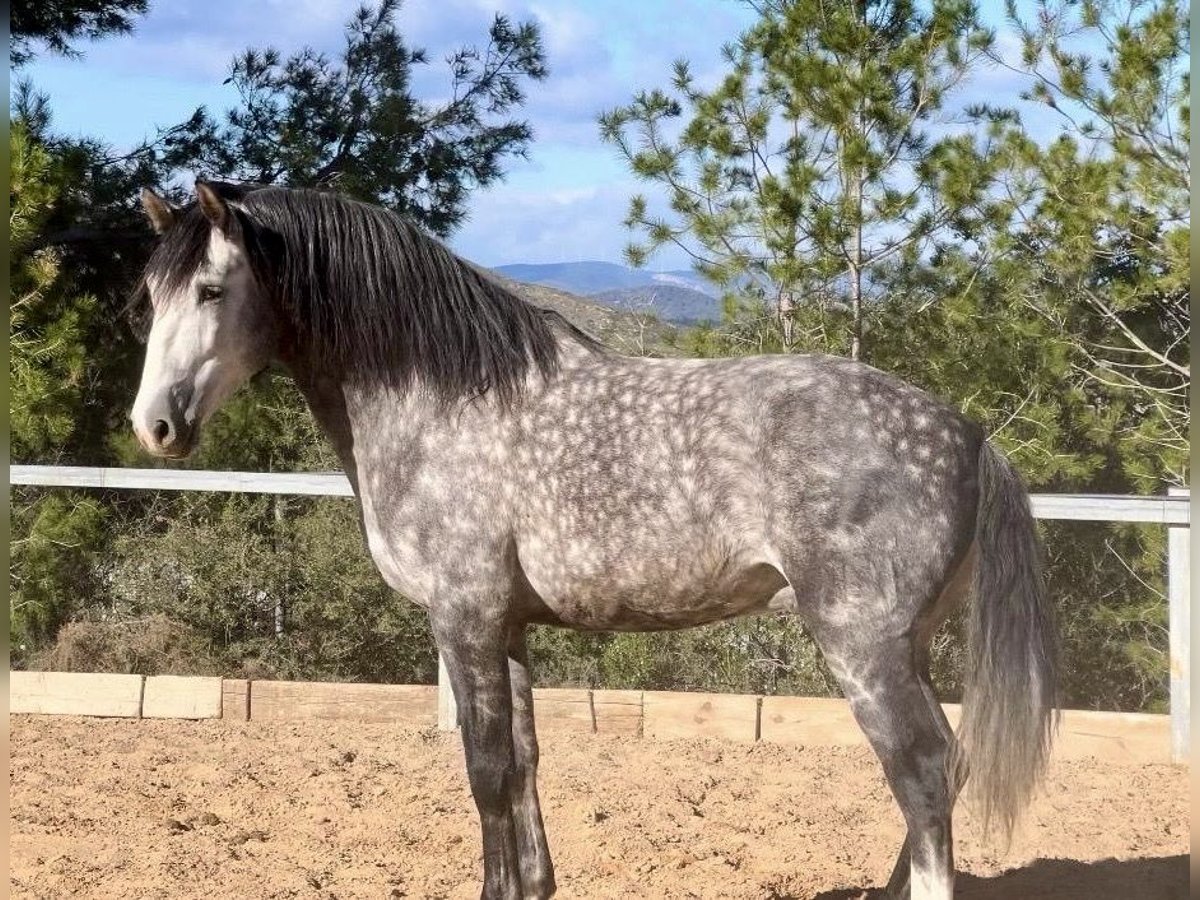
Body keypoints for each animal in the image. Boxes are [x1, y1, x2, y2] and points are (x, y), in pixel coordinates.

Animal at [126, 181, 1056, 900]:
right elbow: (525, 765)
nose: (154, 425)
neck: (441, 401)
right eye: (152, 294)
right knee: (944, 768)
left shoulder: (463, 619)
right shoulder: (507, 627)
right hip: (910, 644)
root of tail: (967, 436)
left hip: (862, 646)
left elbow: (486, 771)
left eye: (211, 289)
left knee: (922, 772)